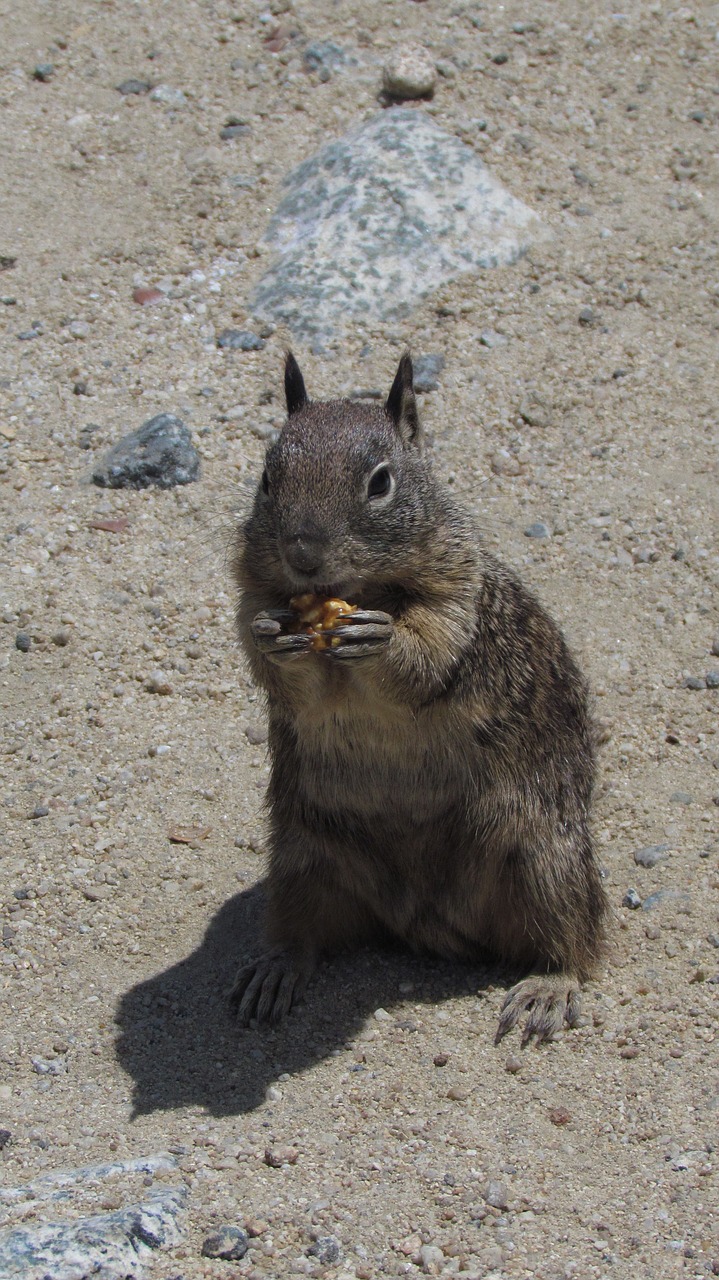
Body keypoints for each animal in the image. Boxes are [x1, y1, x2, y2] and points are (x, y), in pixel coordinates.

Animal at [229, 350, 603, 1039]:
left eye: (380, 482)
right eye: (268, 478)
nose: (303, 553)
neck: (360, 592)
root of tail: (427, 917)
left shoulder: (457, 597)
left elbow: (427, 653)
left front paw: (380, 639)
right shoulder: (250, 595)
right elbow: (267, 652)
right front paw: (277, 641)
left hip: (545, 858)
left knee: (576, 939)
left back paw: (547, 987)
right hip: (302, 858)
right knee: (304, 932)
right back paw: (275, 970)